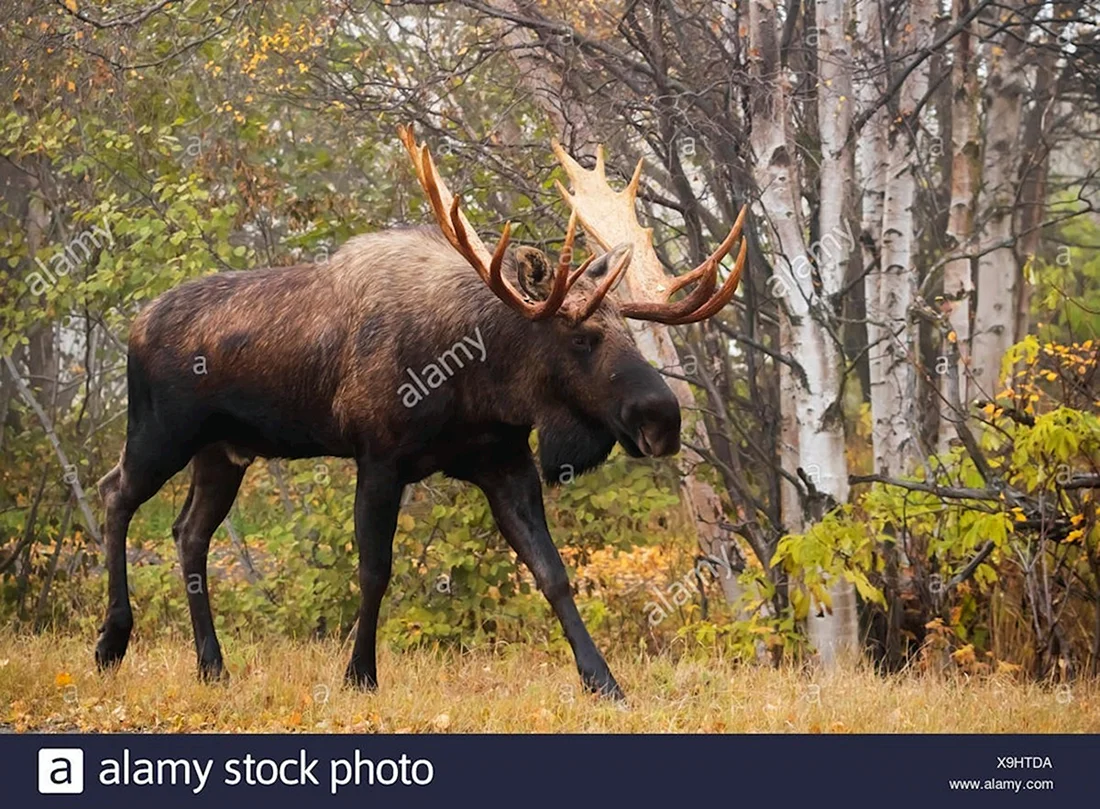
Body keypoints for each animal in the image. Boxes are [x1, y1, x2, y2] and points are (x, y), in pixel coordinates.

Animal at [94, 126, 747, 699]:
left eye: (632, 334)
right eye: (583, 337)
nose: (663, 420)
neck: (480, 382)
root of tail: (134, 324)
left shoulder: (504, 463)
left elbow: (553, 573)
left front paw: (603, 681)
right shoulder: (379, 456)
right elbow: (375, 570)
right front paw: (359, 674)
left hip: (224, 452)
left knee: (188, 532)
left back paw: (212, 665)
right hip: (160, 433)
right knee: (115, 492)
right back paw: (112, 643)